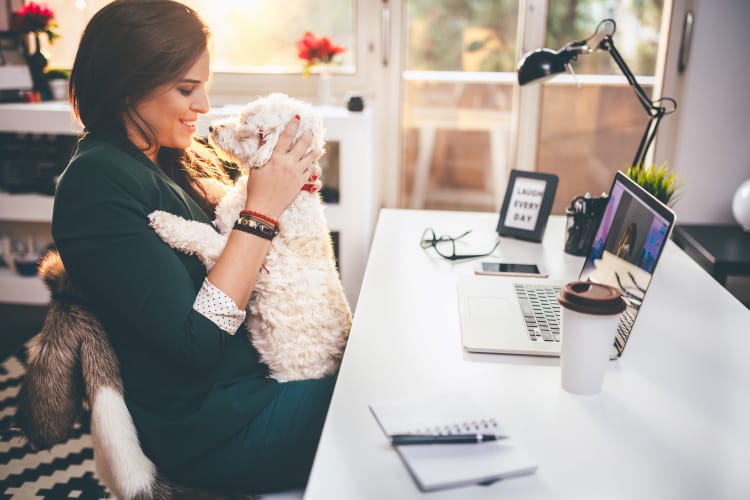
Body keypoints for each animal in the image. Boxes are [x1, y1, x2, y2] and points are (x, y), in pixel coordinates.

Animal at [152, 94, 356, 380]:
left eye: (247, 124)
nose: (213, 128)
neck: (291, 198)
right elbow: (220, 195)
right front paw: (208, 184)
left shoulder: (233, 253)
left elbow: (201, 234)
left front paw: (166, 222)